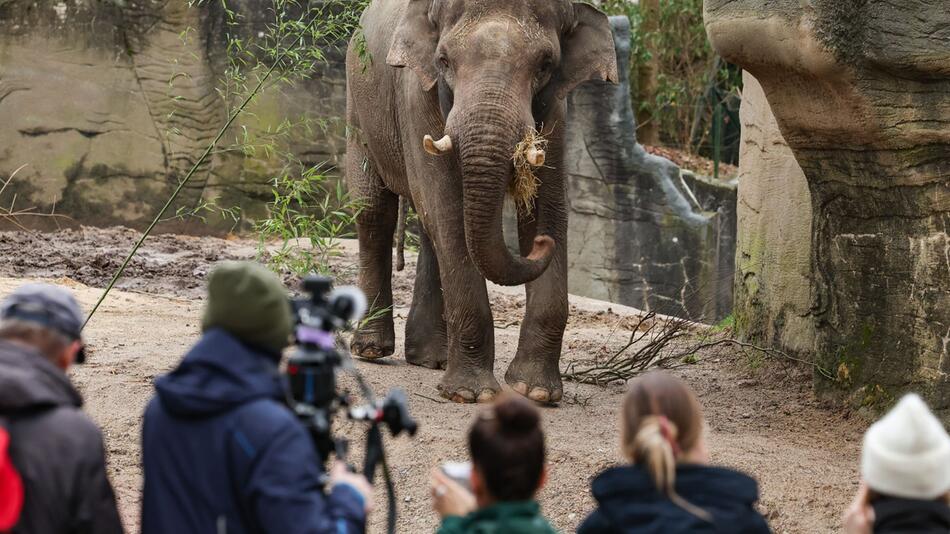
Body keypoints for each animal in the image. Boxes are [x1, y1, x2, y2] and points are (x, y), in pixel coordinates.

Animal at [346, 0, 620, 404]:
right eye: (443, 60)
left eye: (545, 64)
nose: (543, 246)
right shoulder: (416, 93)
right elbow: (444, 204)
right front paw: (470, 395)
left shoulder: (556, 108)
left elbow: (546, 207)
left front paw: (534, 391)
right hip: (359, 105)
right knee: (375, 213)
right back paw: (371, 350)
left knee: (427, 230)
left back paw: (432, 358)